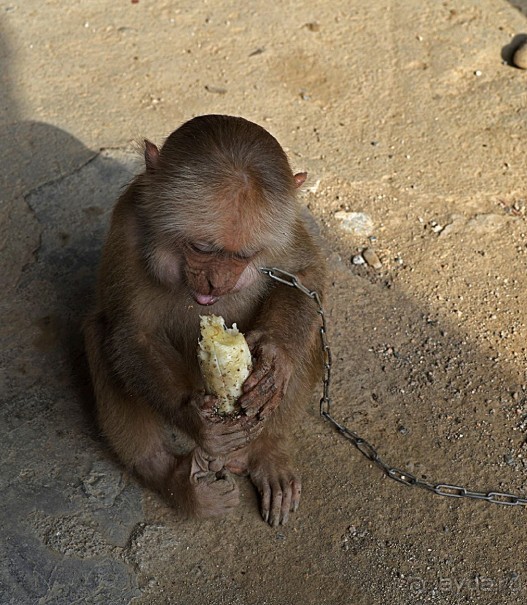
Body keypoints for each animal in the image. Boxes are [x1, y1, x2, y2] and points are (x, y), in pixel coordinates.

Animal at [84, 113, 326, 524]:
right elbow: (133, 333)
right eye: (201, 248)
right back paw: (172, 478)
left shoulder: (287, 227)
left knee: (307, 338)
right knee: (102, 334)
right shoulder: (128, 224)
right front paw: (198, 424)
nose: (216, 282)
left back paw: (268, 452)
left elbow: (305, 277)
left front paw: (274, 355)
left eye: (241, 256)